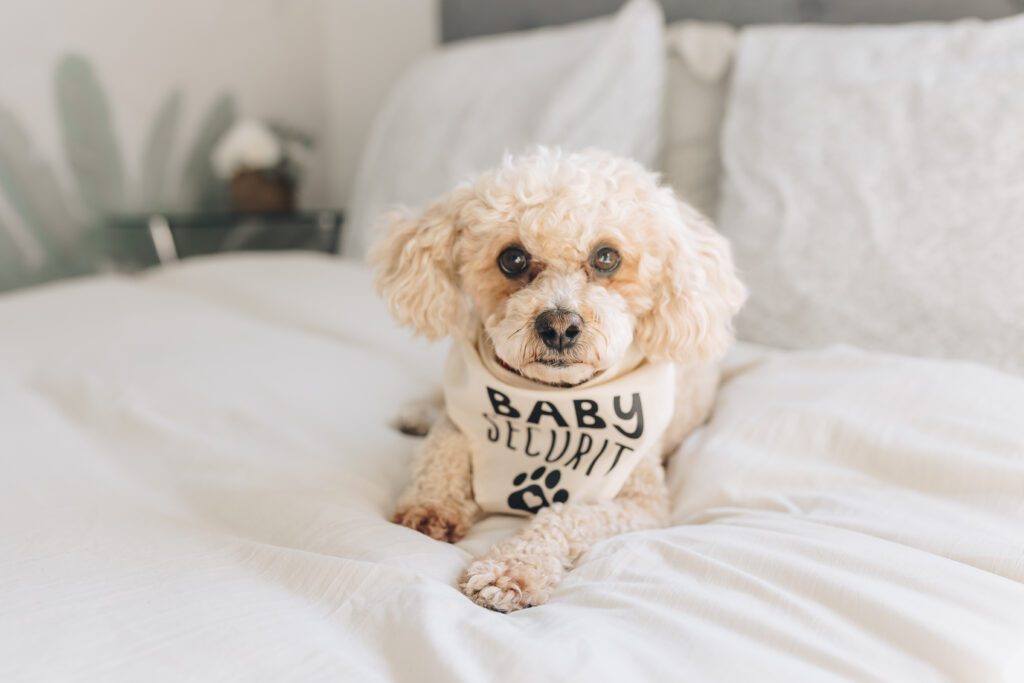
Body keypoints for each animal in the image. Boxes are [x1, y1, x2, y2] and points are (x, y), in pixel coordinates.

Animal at [372, 149, 741, 614]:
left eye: (607, 257)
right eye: (512, 258)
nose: (560, 326)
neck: (550, 400)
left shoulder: (641, 505)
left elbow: (565, 516)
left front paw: (511, 570)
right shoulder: (457, 424)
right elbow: (441, 449)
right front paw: (431, 506)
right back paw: (417, 413)